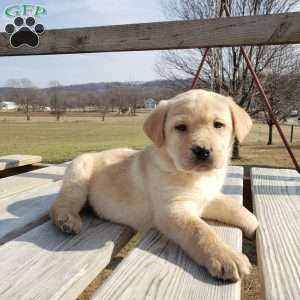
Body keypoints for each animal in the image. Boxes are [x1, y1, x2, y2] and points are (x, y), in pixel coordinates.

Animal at [49, 88, 258, 282]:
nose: (202, 151)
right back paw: (67, 220)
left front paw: (253, 225)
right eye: (180, 127)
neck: (193, 175)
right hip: (78, 175)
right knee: (61, 204)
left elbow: (236, 207)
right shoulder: (172, 211)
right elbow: (200, 231)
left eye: (218, 125)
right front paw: (225, 256)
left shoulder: (207, 197)